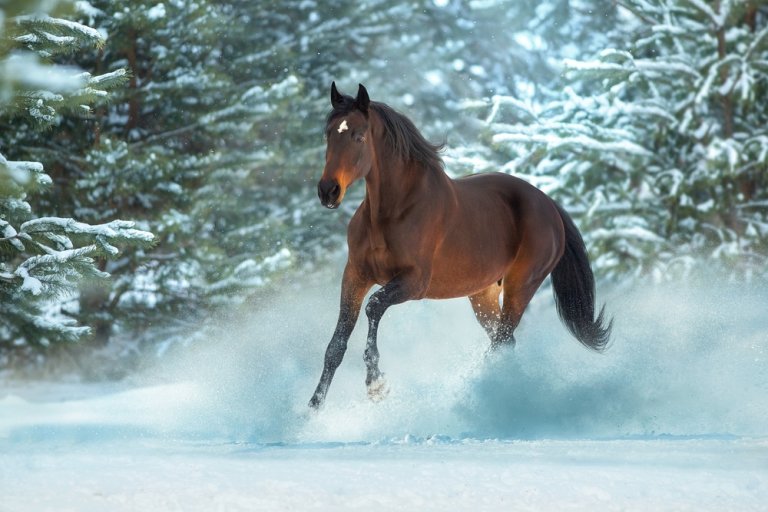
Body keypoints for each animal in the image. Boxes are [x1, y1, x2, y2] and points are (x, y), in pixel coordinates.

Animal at [308, 82, 612, 409]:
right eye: (328, 134)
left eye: (359, 136)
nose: (328, 191)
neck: (392, 212)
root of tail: (549, 204)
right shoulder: (355, 275)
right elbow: (336, 345)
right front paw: (313, 408)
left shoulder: (413, 283)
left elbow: (374, 307)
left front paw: (376, 384)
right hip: (483, 295)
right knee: (503, 342)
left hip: (521, 287)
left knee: (502, 341)